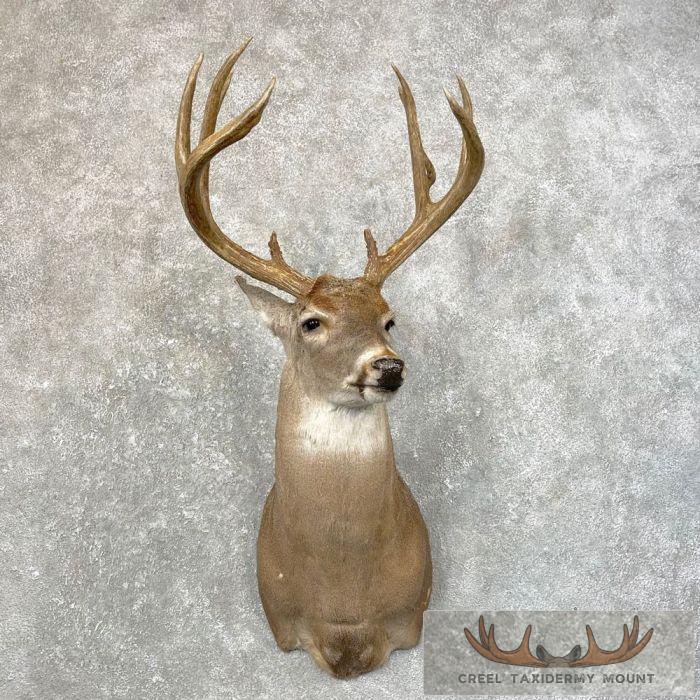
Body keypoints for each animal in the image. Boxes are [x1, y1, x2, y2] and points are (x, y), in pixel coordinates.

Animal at [174, 38, 484, 678]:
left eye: (389, 318)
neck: (344, 601)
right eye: (310, 322)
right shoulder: (282, 618)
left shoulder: (408, 615)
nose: (387, 366)